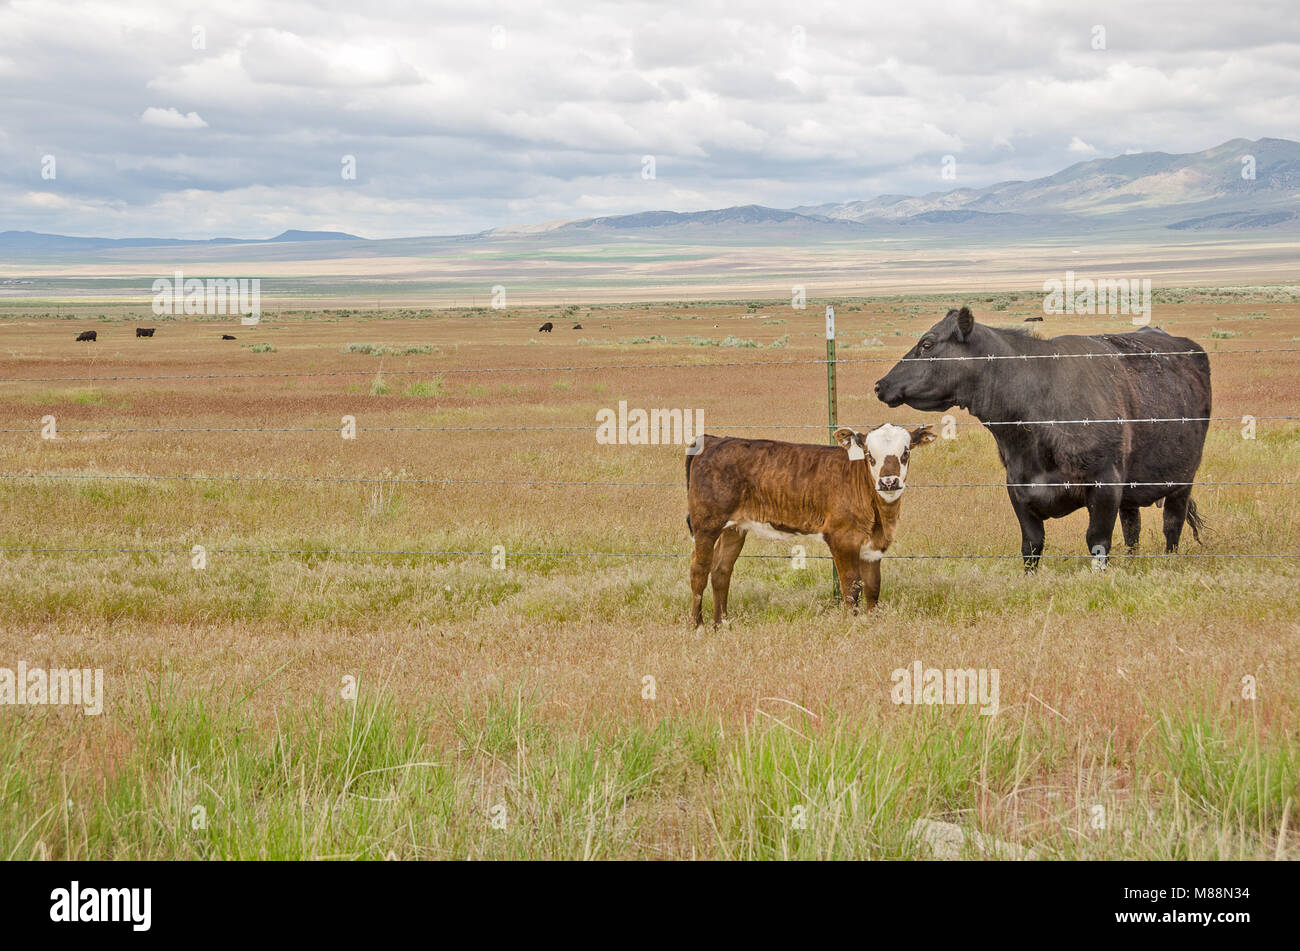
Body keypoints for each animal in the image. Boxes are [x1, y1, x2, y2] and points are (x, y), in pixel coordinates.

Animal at [686, 423, 930, 623]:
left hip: (734, 528)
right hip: (706, 524)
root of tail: (713, 439)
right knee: (699, 570)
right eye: (869, 454)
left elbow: (872, 587)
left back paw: (721, 623)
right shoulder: (842, 538)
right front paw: (853, 624)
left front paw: (872, 623)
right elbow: (852, 586)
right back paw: (698, 625)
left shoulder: (873, 546)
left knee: (721, 570)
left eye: (905, 452)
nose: (888, 482)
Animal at [873, 307, 1206, 569]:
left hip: (1182, 480)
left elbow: (1097, 541)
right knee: (1132, 527)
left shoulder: (1105, 484)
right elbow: (1031, 545)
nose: (880, 384)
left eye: (927, 343)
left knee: (1172, 526)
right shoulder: (1018, 487)